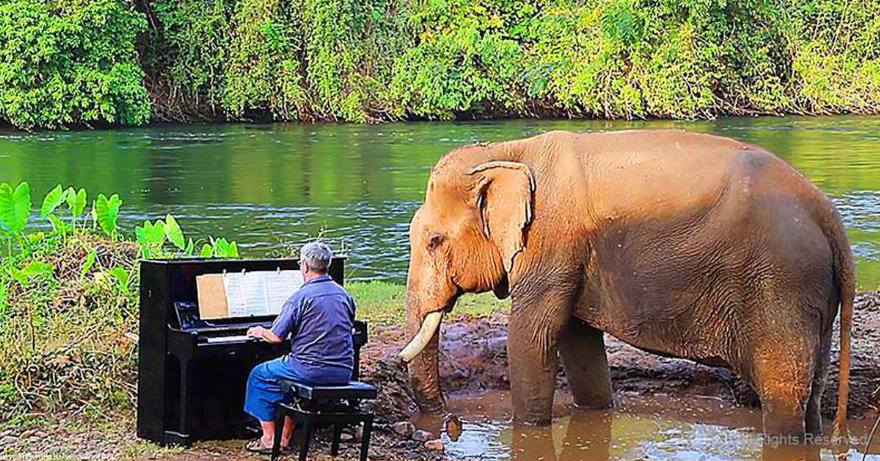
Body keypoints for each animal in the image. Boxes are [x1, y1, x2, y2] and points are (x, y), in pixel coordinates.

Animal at [398, 129, 854, 440]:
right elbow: (576, 340)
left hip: (781, 284)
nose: (449, 421)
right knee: (812, 393)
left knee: (783, 395)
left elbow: (532, 336)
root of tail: (828, 214)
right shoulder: (573, 258)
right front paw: (597, 411)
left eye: (434, 241)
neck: (507, 151)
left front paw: (526, 429)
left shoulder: (551, 244)